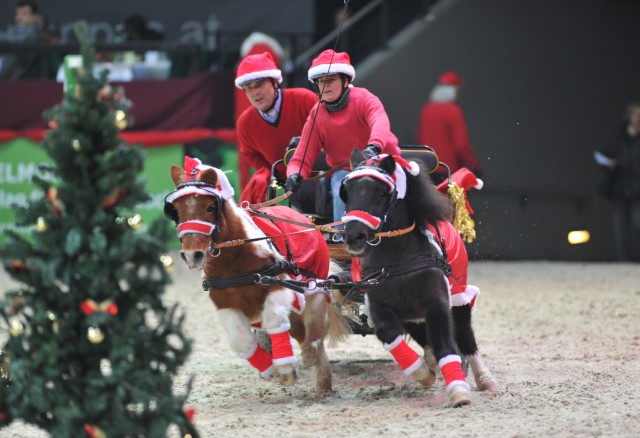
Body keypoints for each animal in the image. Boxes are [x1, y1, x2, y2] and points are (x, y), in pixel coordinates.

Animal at [162, 157, 348, 394]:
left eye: (210, 207)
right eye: (176, 210)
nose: (192, 255)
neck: (235, 262)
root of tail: (310, 223)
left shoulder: (279, 289)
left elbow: (275, 319)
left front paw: (286, 369)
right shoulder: (225, 304)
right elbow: (240, 341)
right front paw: (270, 367)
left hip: (313, 289)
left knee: (315, 327)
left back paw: (317, 366)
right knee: (299, 329)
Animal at [342, 150, 498, 408]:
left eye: (382, 192)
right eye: (348, 191)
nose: (354, 236)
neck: (398, 263)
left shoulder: (438, 303)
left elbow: (445, 342)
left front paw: (458, 391)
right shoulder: (379, 306)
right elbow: (390, 335)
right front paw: (424, 372)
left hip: (458, 293)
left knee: (465, 335)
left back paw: (485, 378)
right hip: (412, 316)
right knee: (423, 337)